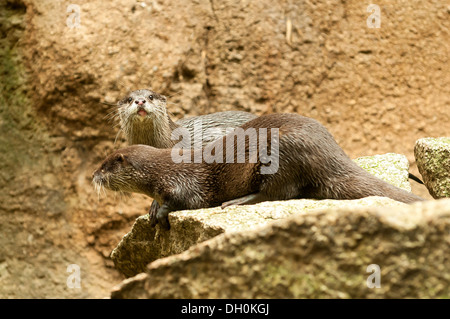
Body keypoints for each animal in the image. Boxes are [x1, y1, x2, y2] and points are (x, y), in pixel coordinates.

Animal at [93, 112, 424, 230]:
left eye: (104, 165)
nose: (93, 175)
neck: (163, 168)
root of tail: (331, 152)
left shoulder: (185, 182)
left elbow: (184, 200)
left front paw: (160, 212)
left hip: (280, 153)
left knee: (280, 193)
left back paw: (236, 201)